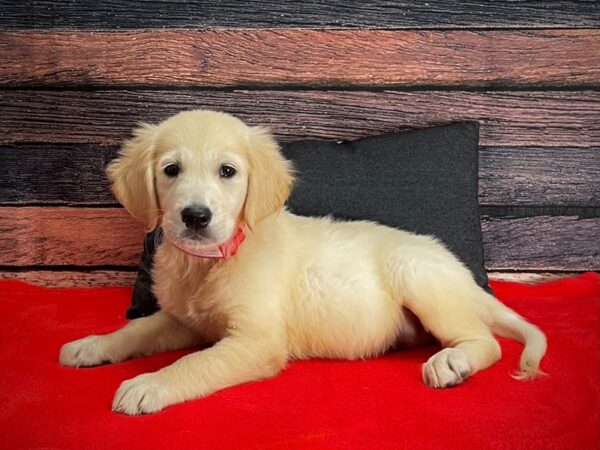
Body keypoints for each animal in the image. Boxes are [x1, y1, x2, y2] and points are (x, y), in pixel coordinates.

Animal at [58, 109, 548, 414]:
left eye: (228, 172)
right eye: (171, 170)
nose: (195, 216)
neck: (209, 263)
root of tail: (462, 275)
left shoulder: (257, 341)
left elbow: (193, 364)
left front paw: (149, 384)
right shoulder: (184, 320)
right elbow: (137, 329)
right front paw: (94, 345)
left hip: (418, 276)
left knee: (485, 340)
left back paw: (452, 362)